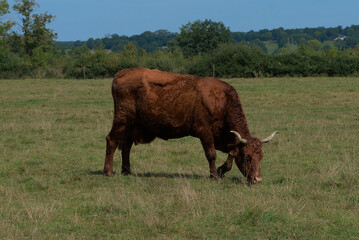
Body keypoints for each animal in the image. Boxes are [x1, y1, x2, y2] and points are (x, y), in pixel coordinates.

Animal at [102, 67, 280, 184]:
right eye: (248, 157)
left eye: (261, 156)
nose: (257, 179)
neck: (222, 101)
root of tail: (123, 73)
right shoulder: (204, 132)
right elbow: (211, 154)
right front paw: (214, 175)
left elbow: (231, 155)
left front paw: (221, 170)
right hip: (122, 120)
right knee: (111, 141)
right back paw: (108, 172)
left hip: (131, 125)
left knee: (126, 146)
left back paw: (127, 170)